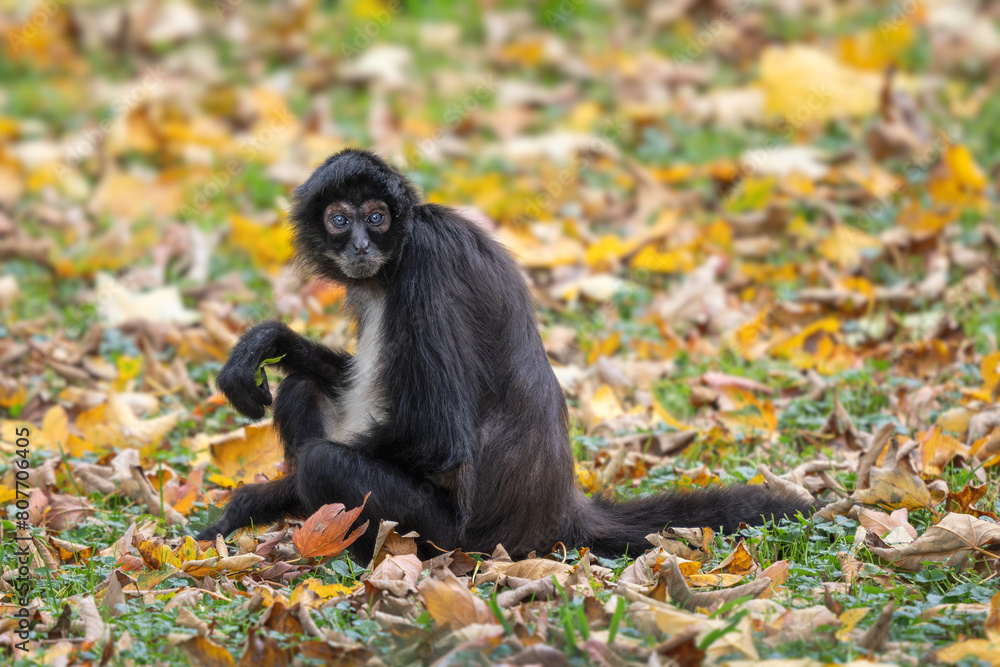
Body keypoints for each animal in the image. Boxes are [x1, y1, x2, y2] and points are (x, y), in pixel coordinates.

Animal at [196, 148, 815, 559]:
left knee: (325, 460)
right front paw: (268, 342)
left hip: (448, 532)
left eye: (376, 216)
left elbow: (437, 438)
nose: (362, 245)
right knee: (300, 385)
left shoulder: (427, 262)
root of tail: (557, 510)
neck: (393, 262)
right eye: (340, 220)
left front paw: (268, 500)